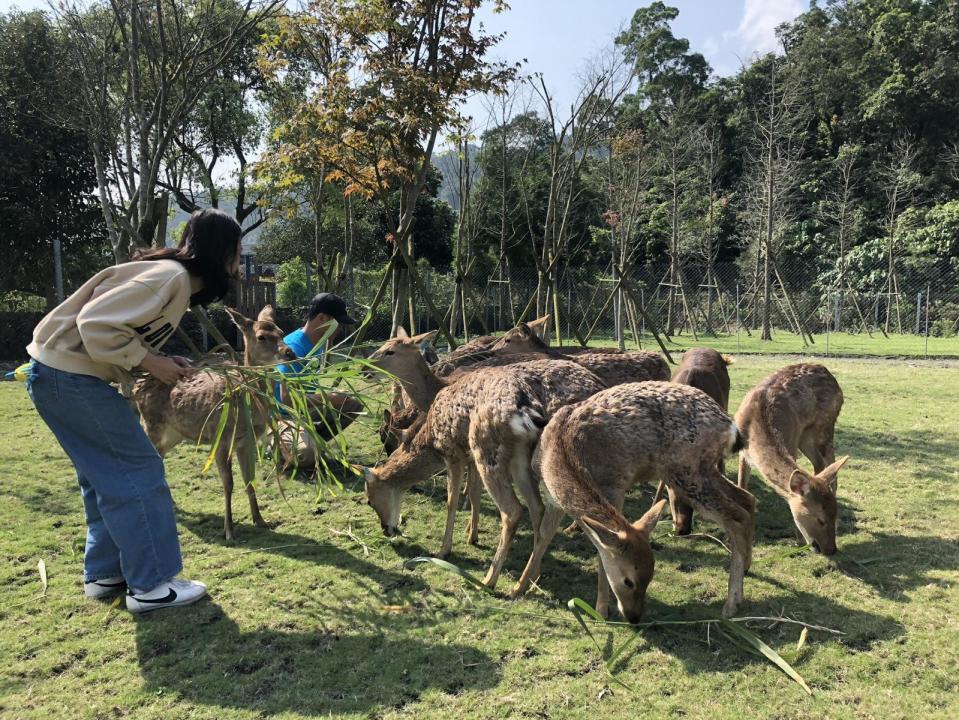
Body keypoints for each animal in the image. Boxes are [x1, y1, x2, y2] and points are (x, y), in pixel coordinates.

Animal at [133, 306, 294, 540]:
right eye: (261, 337)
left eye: (281, 332)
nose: (290, 353)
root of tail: (137, 385)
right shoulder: (221, 438)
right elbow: (228, 483)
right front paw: (229, 531)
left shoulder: (247, 442)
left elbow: (249, 479)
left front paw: (260, 520)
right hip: (150, 424)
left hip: (175, 433)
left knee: (160, 457)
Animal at [356, 358, 604, 584]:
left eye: (369, 500)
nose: (386, 530)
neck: (430, 440)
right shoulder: (470, 459)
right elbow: (474, 493)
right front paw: (471, 536)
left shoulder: (453, 454)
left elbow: (452, 500)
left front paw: (444, 550)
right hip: (519, 458)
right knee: (538, 507)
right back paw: (533, 575)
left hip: (487, 451)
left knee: (515, 510)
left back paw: (490, 580)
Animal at [532, 380, 756, 620]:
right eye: (629, 582)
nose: (634, 618)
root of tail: (730, 427)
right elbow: (544, 536)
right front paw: (522, 587)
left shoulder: (615, 487)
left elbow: (601, 549)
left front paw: (601, 610)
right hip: (699, 471)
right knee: (747, 499)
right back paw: (745, 570)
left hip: (686, 472)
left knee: (736, 516)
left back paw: (731, 603)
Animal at [736, 362, 848, 556]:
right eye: (820, 519)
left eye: (835, 515)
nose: (831, 550)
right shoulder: (742, 452)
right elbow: (742, 486)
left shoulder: (792, 443)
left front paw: (798, 541)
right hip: (806, 437)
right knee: (820, 464)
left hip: (824, 427)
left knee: (829, 463)